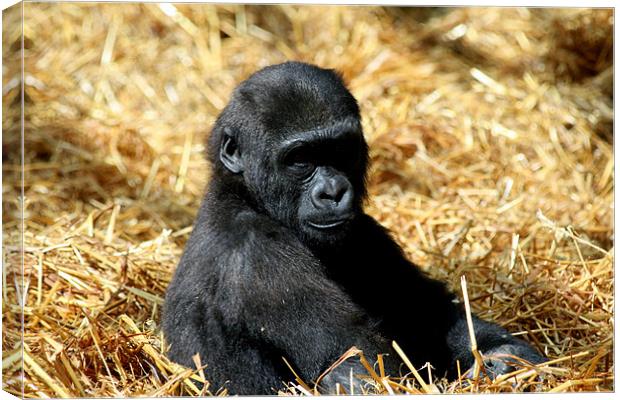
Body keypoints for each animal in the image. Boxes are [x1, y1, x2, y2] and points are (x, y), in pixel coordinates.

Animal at [162, 61, 544, 394]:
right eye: (300, 160)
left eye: (341, 150)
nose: (332, 192)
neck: (244, 194)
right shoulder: (258, 252)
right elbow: (363, 363)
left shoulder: (364, 231)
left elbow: (430, 312)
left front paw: (508, 358)